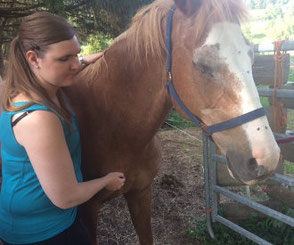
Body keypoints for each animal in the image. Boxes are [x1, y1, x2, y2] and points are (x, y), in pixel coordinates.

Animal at [0, 0, 280, 245]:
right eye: (201, 63)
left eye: (252, 55)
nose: (266, 157)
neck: (114, 126)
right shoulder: (86, 210)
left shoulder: (142, 193)